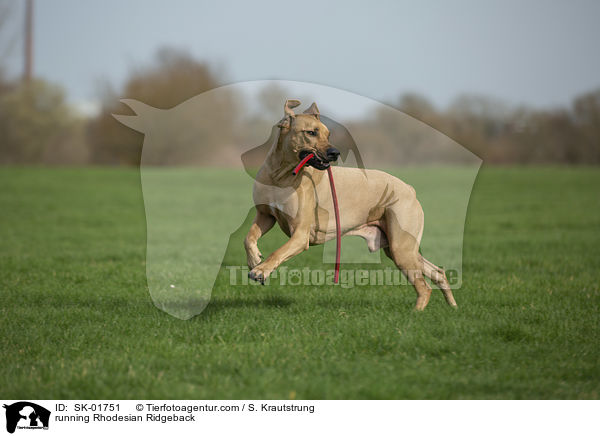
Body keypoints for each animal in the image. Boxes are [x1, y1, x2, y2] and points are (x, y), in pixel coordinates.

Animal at [246, 99, 458, 310]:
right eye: (311, 132)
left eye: (328, 134)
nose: (335, 152)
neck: (281, 177)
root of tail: (409, 188)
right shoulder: (265, 216)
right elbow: (249, 238)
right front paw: (254, 259)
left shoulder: (300, 235)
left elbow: (277, 252)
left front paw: (261, 270)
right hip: (399, 248)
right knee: (438, 272)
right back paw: (452, 306)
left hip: (402, 248)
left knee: (424, 288)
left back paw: (416, 313)